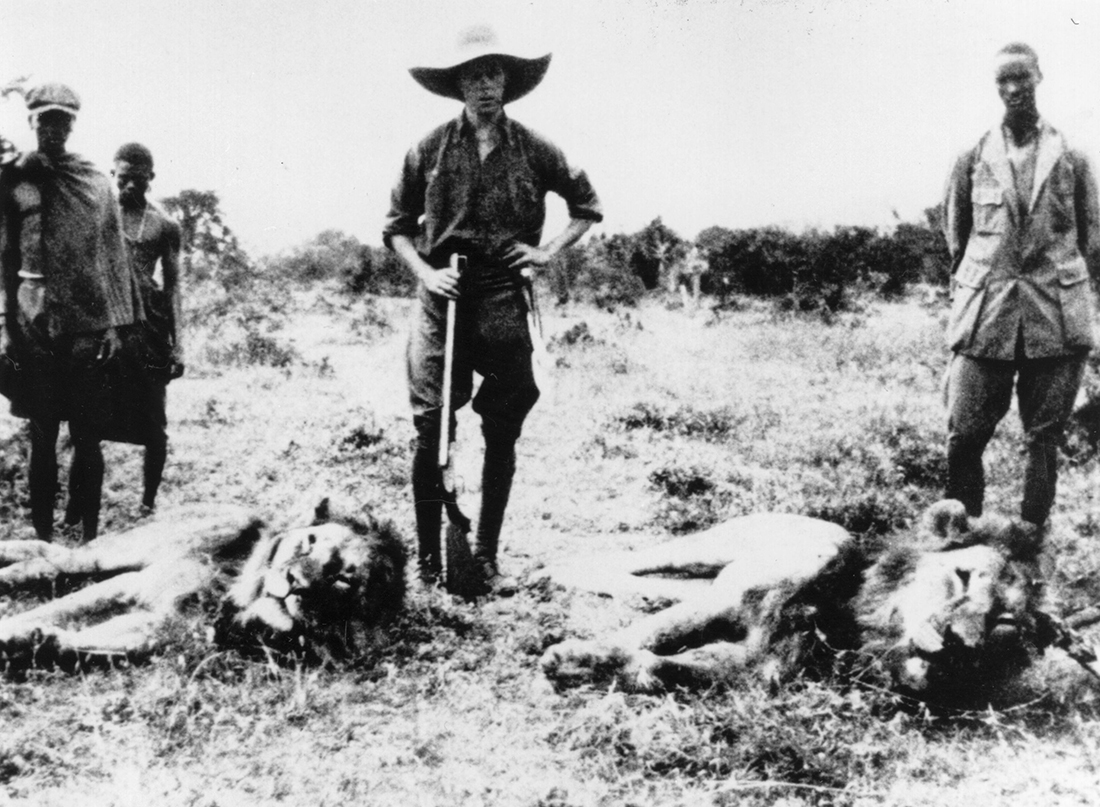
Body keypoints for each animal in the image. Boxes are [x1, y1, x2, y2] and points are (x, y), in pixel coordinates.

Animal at [0, 496, 407, 672]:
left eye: (342, 580)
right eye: (308, 542)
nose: (296, 582)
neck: (236, 601)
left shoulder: (159, 628)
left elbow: (86, 644)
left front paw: (34, 643)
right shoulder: (131, 586)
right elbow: (52, 611)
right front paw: (14, 632)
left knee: (49, 558)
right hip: (121, 553)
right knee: (54, 560)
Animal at [543, 503, 1100, 703]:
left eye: (1003, 621)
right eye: (961, 577)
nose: (959, 643)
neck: (856, 623)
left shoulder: (763, 662)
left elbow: (676, 664)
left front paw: (634, 671)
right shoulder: (731, 602)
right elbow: (647, 633)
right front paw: (575, 657)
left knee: (643, 585)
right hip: (713, 550)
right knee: (628, 562)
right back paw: (550, 569)